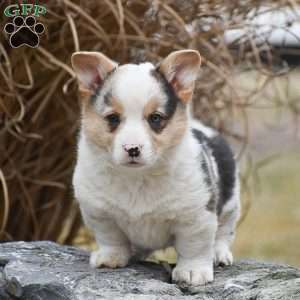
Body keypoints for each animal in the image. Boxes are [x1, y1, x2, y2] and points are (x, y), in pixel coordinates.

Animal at [71, 50, 240, 288]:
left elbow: (194, 247)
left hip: (231, 204)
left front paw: (193, 272)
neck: (137, 177)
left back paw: (219, 253)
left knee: (224, 231)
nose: (132, 149)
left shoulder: (196, 217)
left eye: (156, 118)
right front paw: (110, 258)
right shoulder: (99, 214)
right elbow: (111, 238)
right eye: (113, 118)